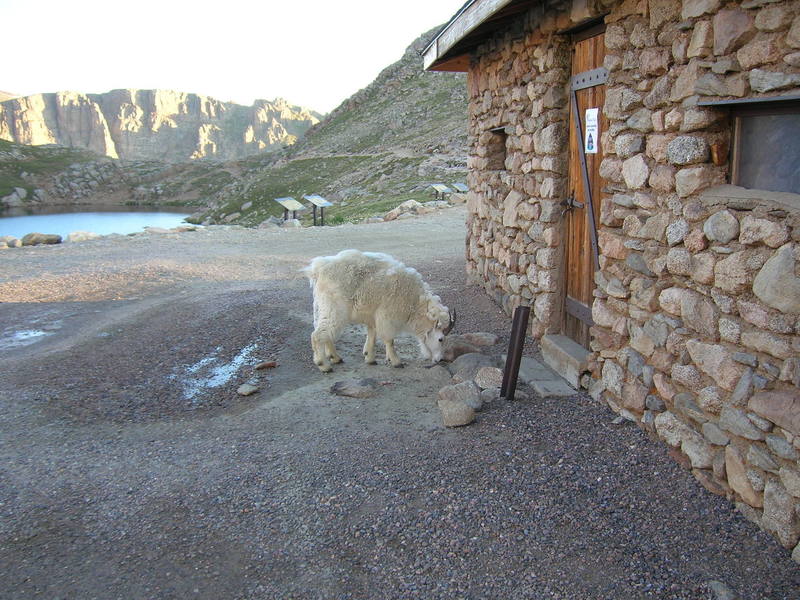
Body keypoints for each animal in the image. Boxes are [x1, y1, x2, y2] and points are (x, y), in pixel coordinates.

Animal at [304, 247, 456, 370]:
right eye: (441, 339)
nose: (439, 359)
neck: (414, 301)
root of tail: (318, 270)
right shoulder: (387, 316)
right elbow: (389, 339)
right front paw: (396, 361)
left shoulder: (374, 316)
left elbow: (372, 335)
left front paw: (369, 357)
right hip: (334, 308)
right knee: (318, 335)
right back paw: (324, 365)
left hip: (322, 307)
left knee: (325, 332)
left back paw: (335, 357)